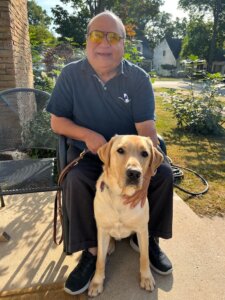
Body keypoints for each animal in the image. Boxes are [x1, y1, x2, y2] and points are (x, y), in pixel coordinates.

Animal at [88, 135, 163, 296]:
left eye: (145, 153)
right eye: (120, 150)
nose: (134, 173)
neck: (121, 197)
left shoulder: (142, 229)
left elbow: (144, 257)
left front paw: (146, 278)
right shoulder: (102, 230)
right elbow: (99, 261)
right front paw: (96, 282)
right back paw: (110, 246)